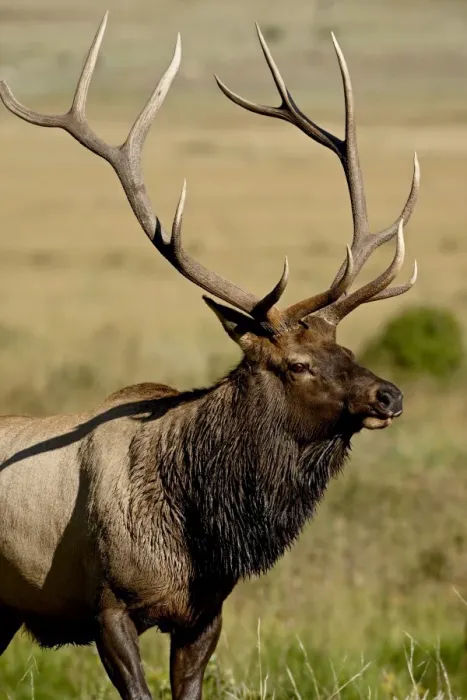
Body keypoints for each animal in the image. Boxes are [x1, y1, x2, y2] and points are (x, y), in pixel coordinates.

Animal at [0, 13, 419, 700]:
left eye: (346, 347)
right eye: (297, 364)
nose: (390, 394)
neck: (196, 530)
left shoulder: (205, 613)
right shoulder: (107, 606)